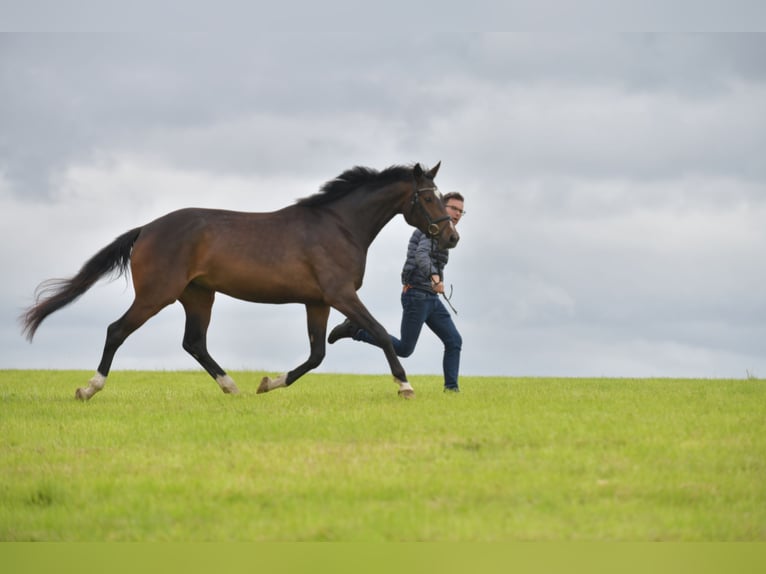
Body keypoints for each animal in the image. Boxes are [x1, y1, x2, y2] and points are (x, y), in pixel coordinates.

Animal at [21, 164, 460, 402]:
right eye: (428, 198)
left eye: (442, 197)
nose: (451, 237)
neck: (339, 226)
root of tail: (146, 229)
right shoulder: (341, 295)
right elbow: (382, 334)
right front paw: (404, 387)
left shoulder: (318, 301)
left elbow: (317, 354)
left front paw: (268, 383)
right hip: (157, 295)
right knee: (117, 330)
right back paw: (89, 389)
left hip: (199, 296)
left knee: (194, 343)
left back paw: (232, 387)